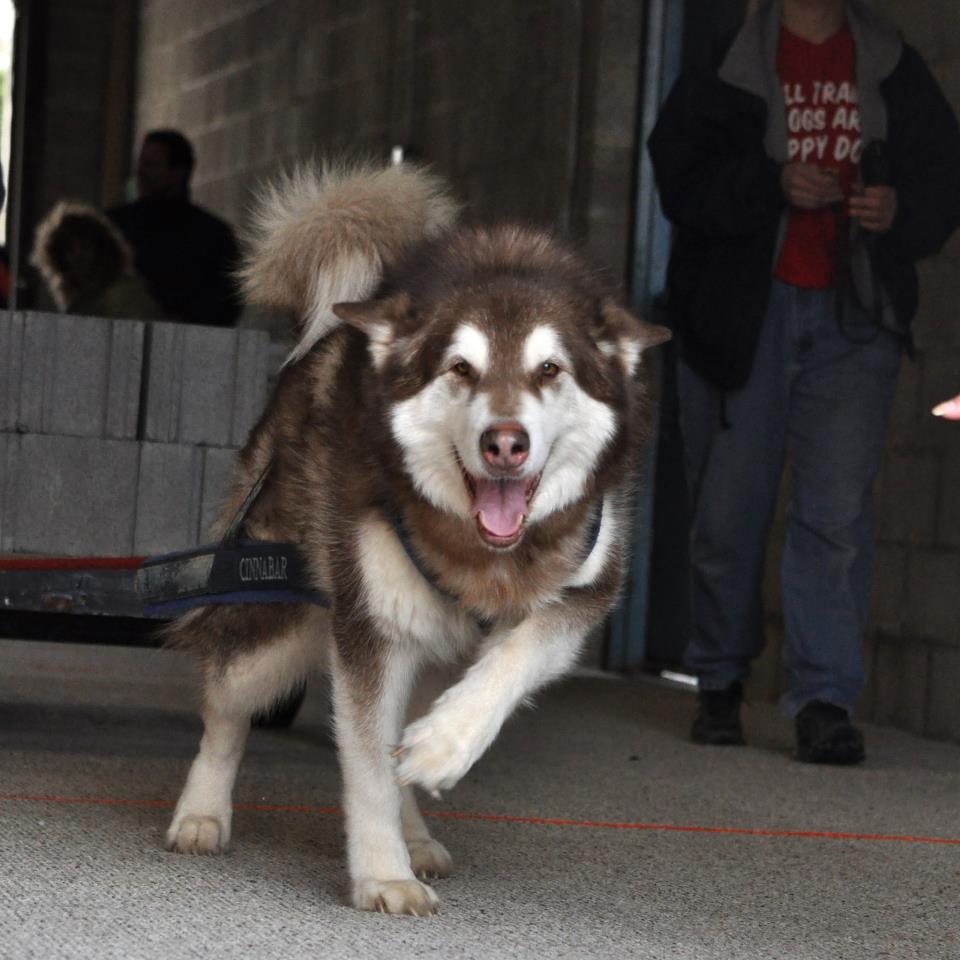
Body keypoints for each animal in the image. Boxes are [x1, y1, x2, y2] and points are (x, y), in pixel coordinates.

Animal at [163, 163, 668, 916]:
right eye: (460, 368)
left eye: (551, 370)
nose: (505, 444)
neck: (484, 558)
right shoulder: (370, 625)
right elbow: (368, 764)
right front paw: (383, 875)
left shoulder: (584, 594)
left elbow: (515, 658)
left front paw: (442, 748)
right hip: (281, 617)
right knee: (226, 701)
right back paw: (202, 811)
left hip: (428, 642)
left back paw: (418, 827)